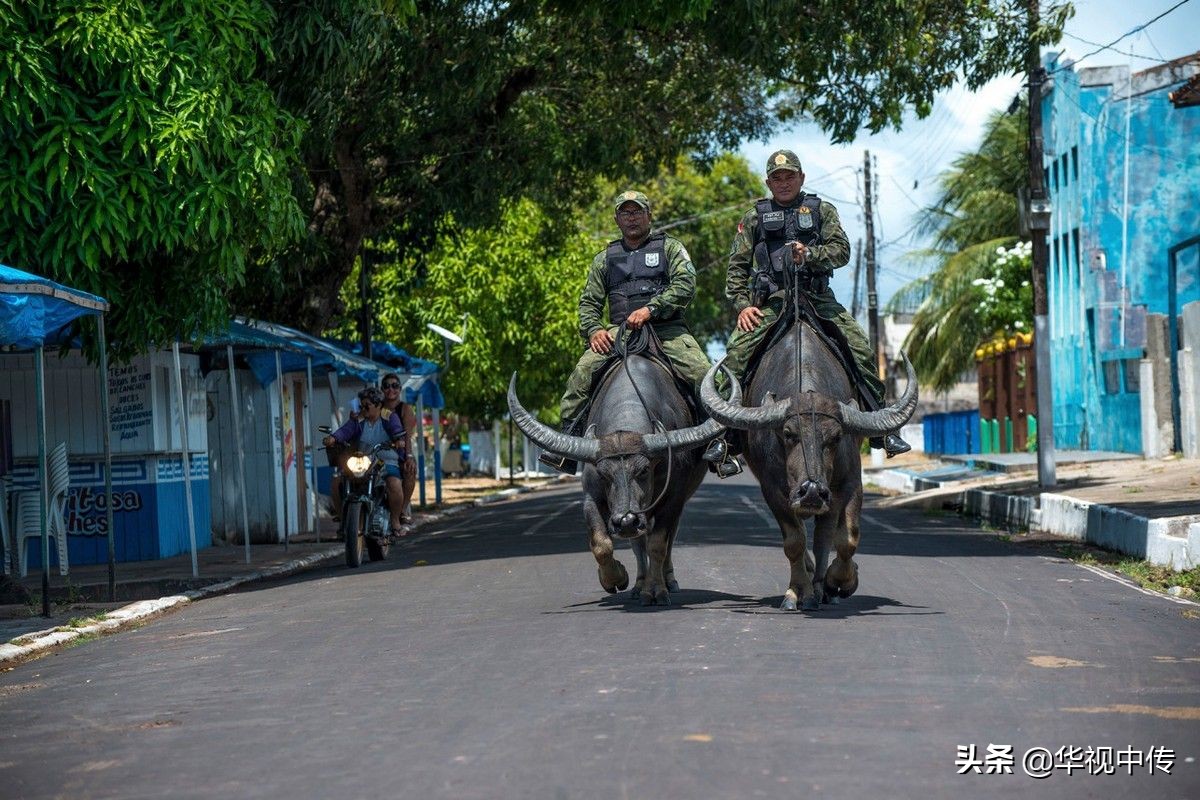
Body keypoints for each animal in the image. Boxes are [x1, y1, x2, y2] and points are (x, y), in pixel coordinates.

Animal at [504, 357, 734, 606]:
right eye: (604, 474)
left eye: (644, 470)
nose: (626, 521)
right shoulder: (592, 497)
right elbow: (601, 544)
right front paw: (616, 579)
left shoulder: (673, 499)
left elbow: (658, 545)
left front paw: (657, 591)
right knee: (638, 543)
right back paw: (639, 585)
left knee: (667, 539)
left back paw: (667, 581)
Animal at [700, 319, 912, 614]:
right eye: (788, 433)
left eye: (836, 437)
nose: (811, 491)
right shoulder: (775, 490)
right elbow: (795, 541)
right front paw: (798, 592)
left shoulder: (848, 483)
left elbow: (845, 538)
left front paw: (839, 583)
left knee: (826, 535)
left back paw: (823, 586)